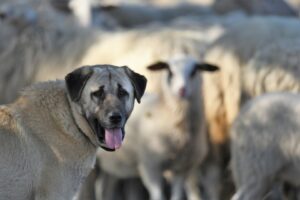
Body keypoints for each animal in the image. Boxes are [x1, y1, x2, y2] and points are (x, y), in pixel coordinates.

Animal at [95, 55, 218, 200]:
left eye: (195, 70)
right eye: (170, 71)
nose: (182, 90)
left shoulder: (180, 168)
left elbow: (176, 195)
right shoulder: (150, 166)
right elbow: (158, 195)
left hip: (112, 165)